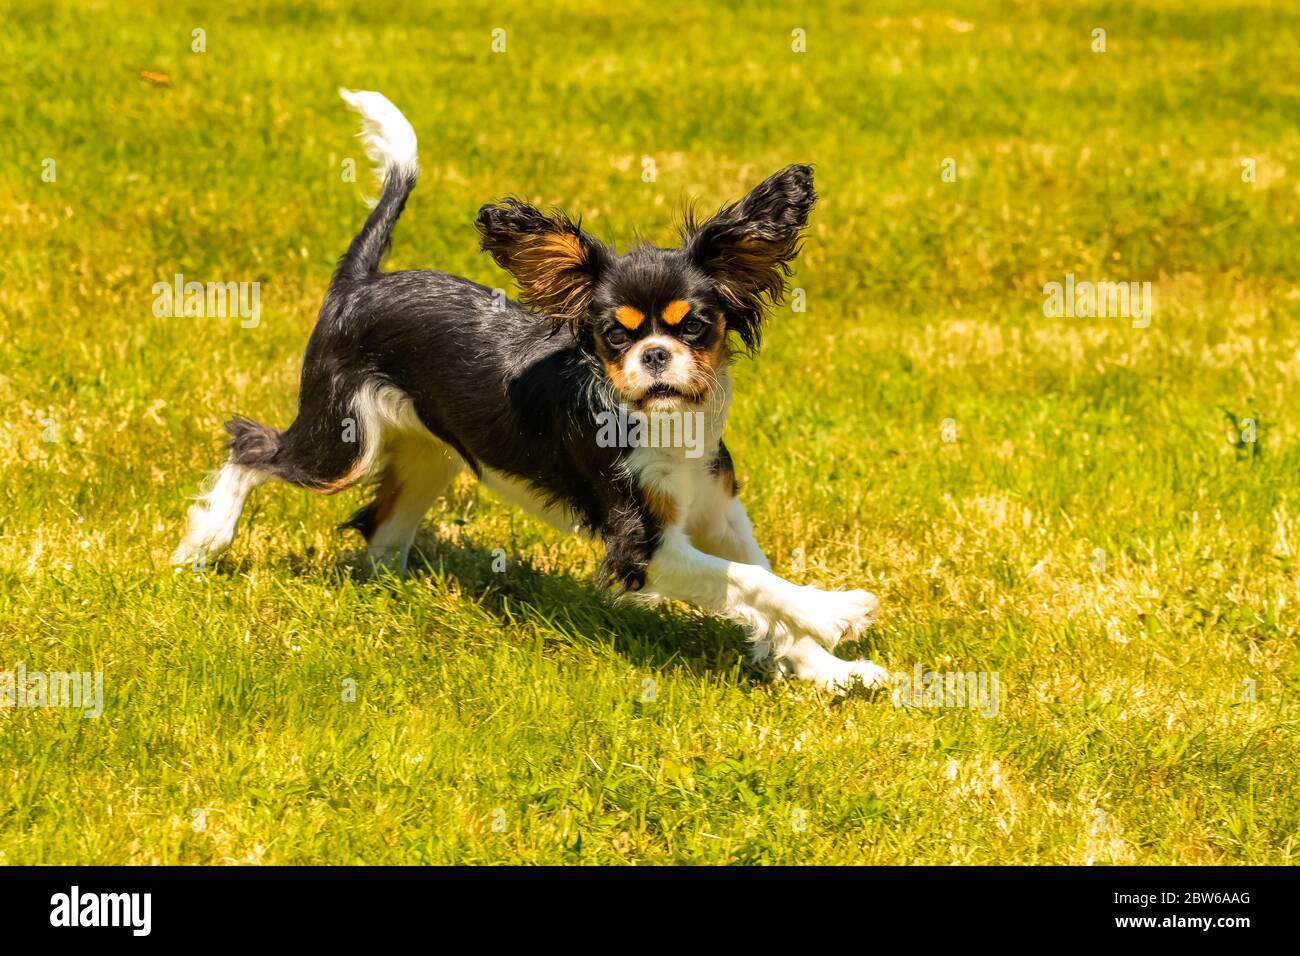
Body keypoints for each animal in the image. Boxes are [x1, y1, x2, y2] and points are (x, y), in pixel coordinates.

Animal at [170, 89, 883, 691]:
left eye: (696, 327)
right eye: (613, 335)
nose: (656, 354)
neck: (664, 424)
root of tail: (358, 282)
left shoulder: (715, 510)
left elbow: (758, 583)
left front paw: (829, 669)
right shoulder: (640, 549)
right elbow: (753, 583)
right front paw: (835, 611)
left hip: (427, 457)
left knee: (380, 533)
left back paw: (399, 598)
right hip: (339, 446)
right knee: (250, 447)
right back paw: (203, 544)